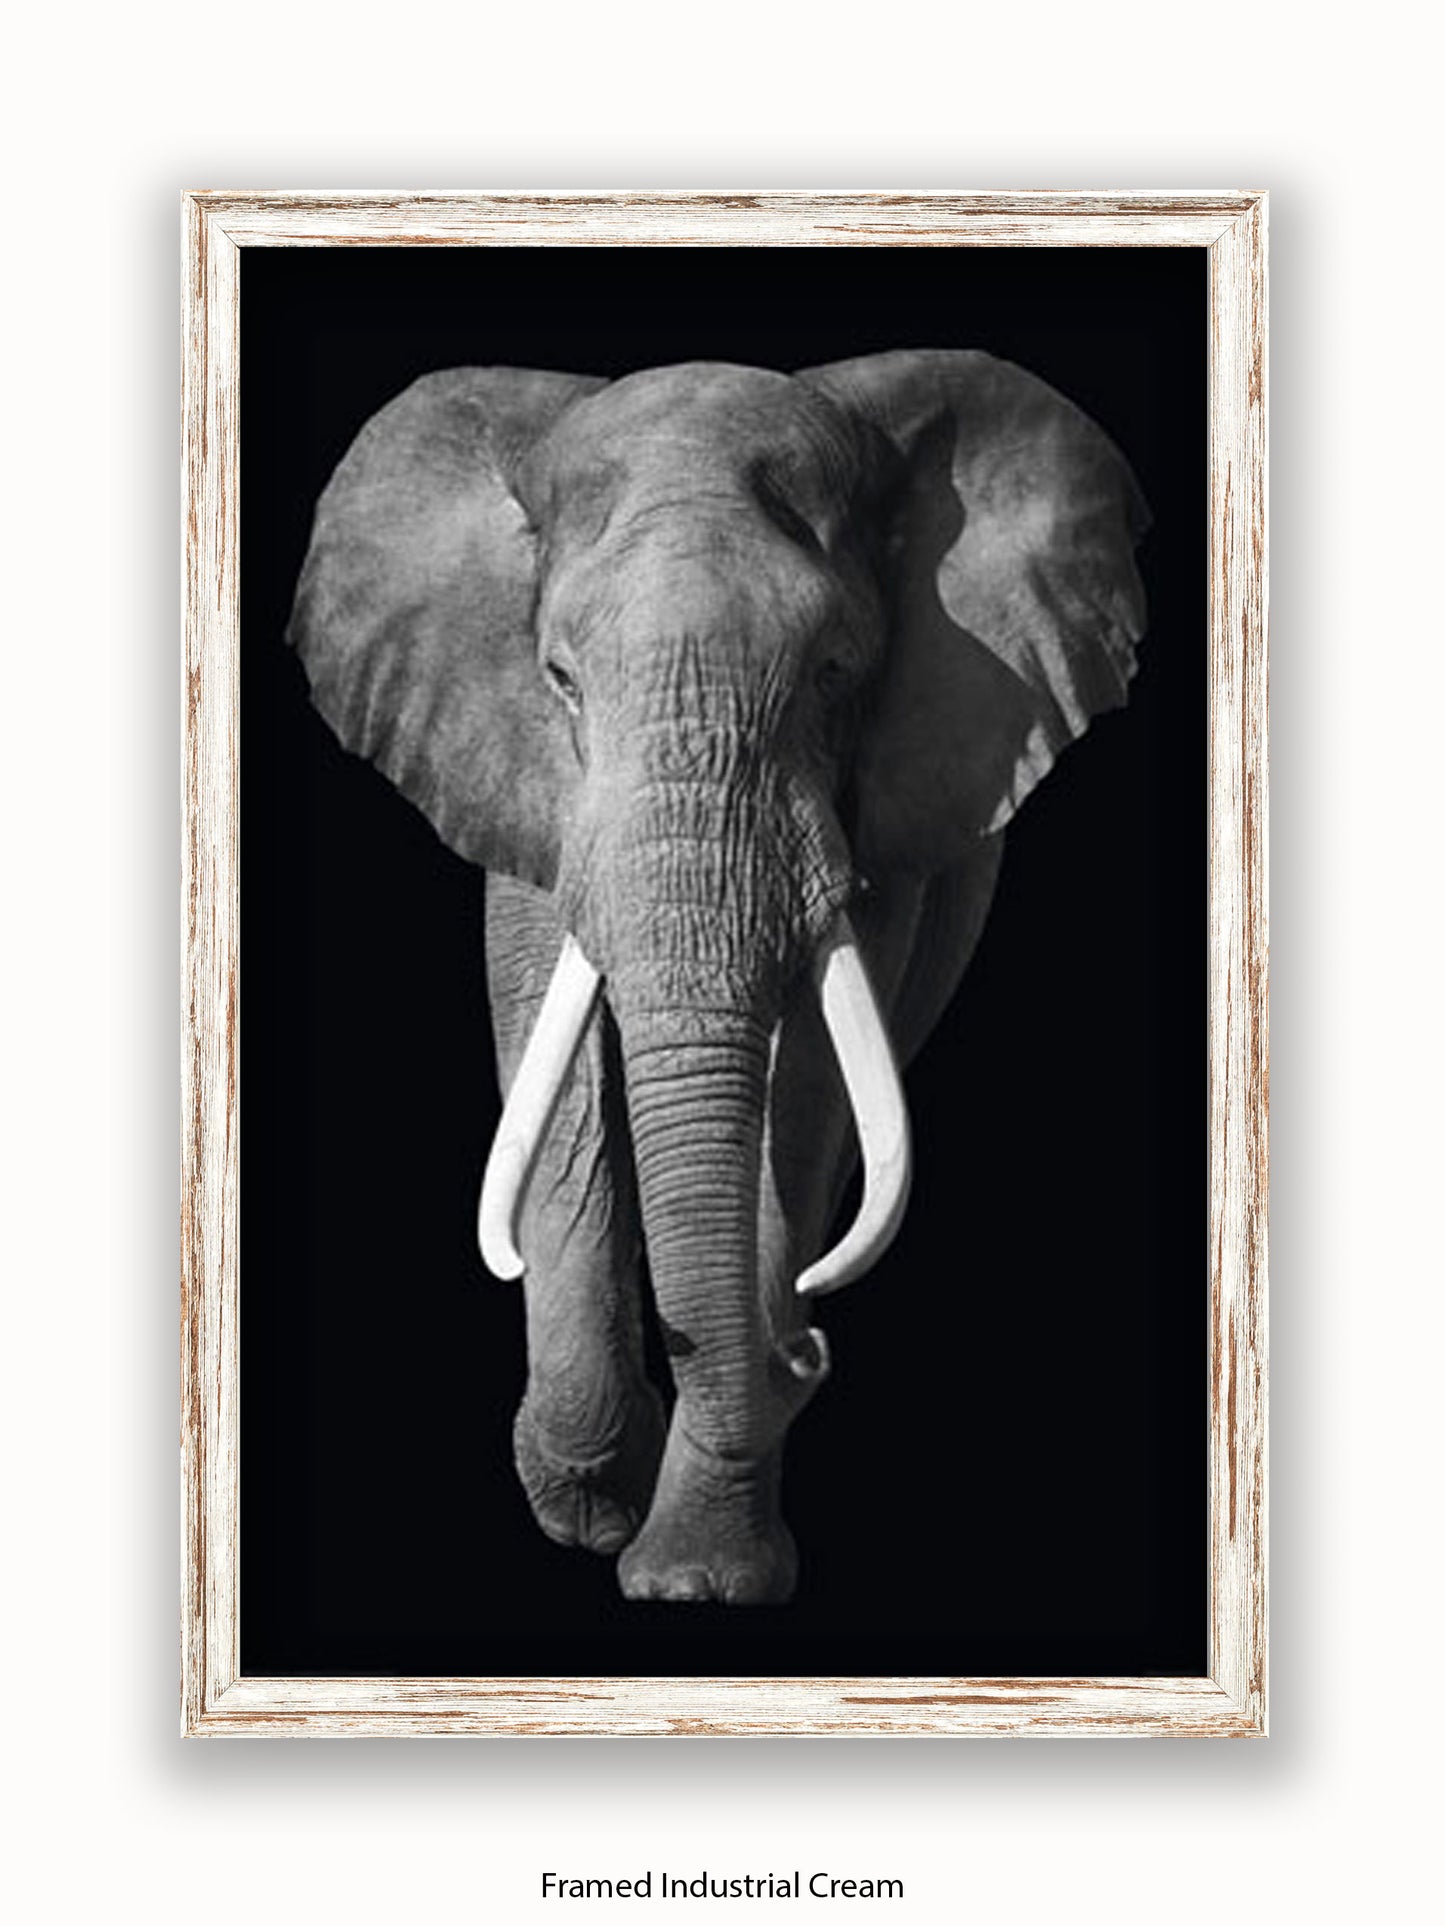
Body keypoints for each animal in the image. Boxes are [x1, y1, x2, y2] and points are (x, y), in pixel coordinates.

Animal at [287, 349, 1148, 1605]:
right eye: (559, 678)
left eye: (836, 671)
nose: (806, 1350)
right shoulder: (521, 777)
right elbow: (559, 1066)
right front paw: (592, 1500)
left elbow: (804, 1091)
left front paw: (695, 1577)